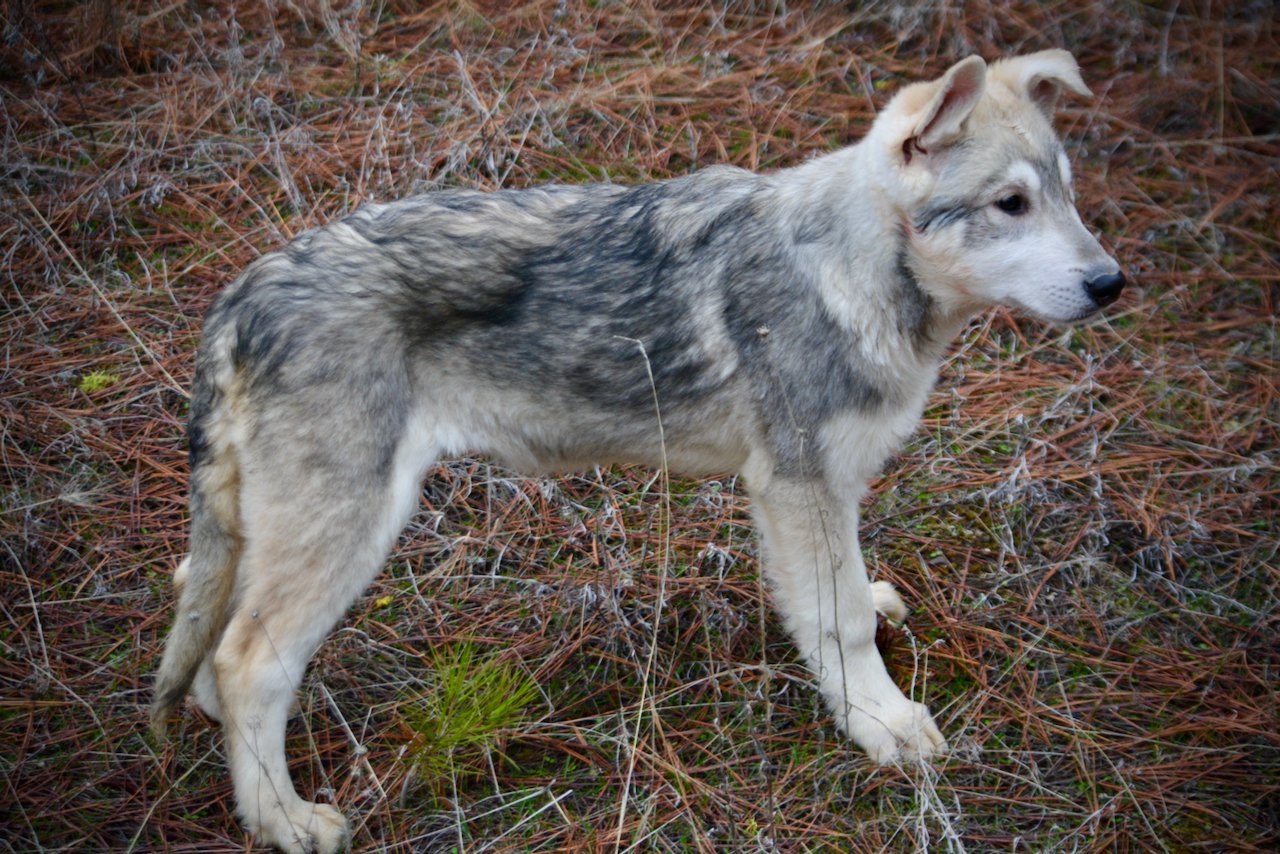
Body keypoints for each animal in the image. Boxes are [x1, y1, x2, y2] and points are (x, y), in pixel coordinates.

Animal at [152, 50, 1121, 850]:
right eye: (1010, 205)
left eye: (1068, 196)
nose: (1112, 283)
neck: (851, 269)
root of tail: (242, 294)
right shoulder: (795, 484)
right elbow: (838, 621)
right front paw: (879, 724)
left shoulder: (820, 492)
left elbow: (839, 591)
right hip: (353, 526)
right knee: (247, 664)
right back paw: (284, 823)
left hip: (272, 528)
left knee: (206, 634)